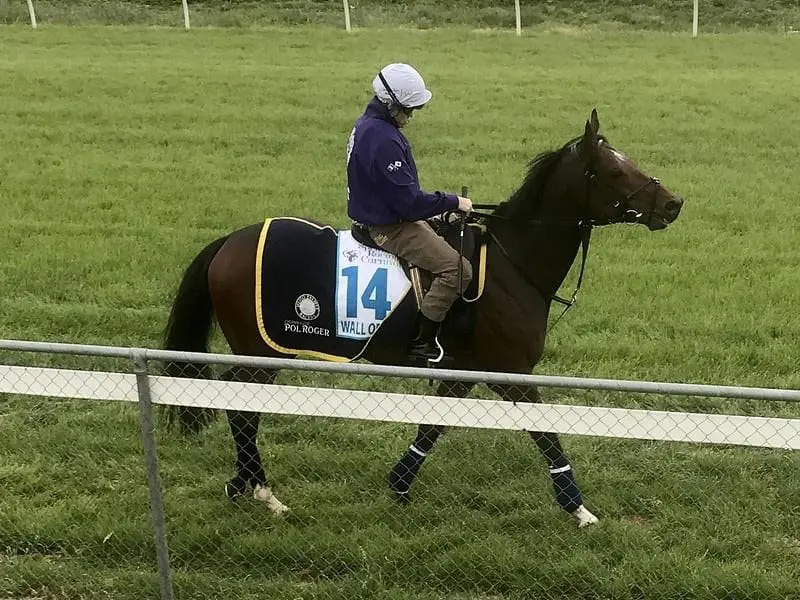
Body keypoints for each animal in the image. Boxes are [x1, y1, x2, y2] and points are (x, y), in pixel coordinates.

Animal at [161, 110, 680, 528]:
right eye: (614, 169)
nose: (673, 204)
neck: (511, 264)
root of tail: (229, 242)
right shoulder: (511, 372)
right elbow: (546, 434)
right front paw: (578, 508)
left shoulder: (461, 373)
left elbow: (431, 429)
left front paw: (399, 485)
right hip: (261, 353)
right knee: (241, 413)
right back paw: (262, 492)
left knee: (241, 413)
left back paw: (242, 484)